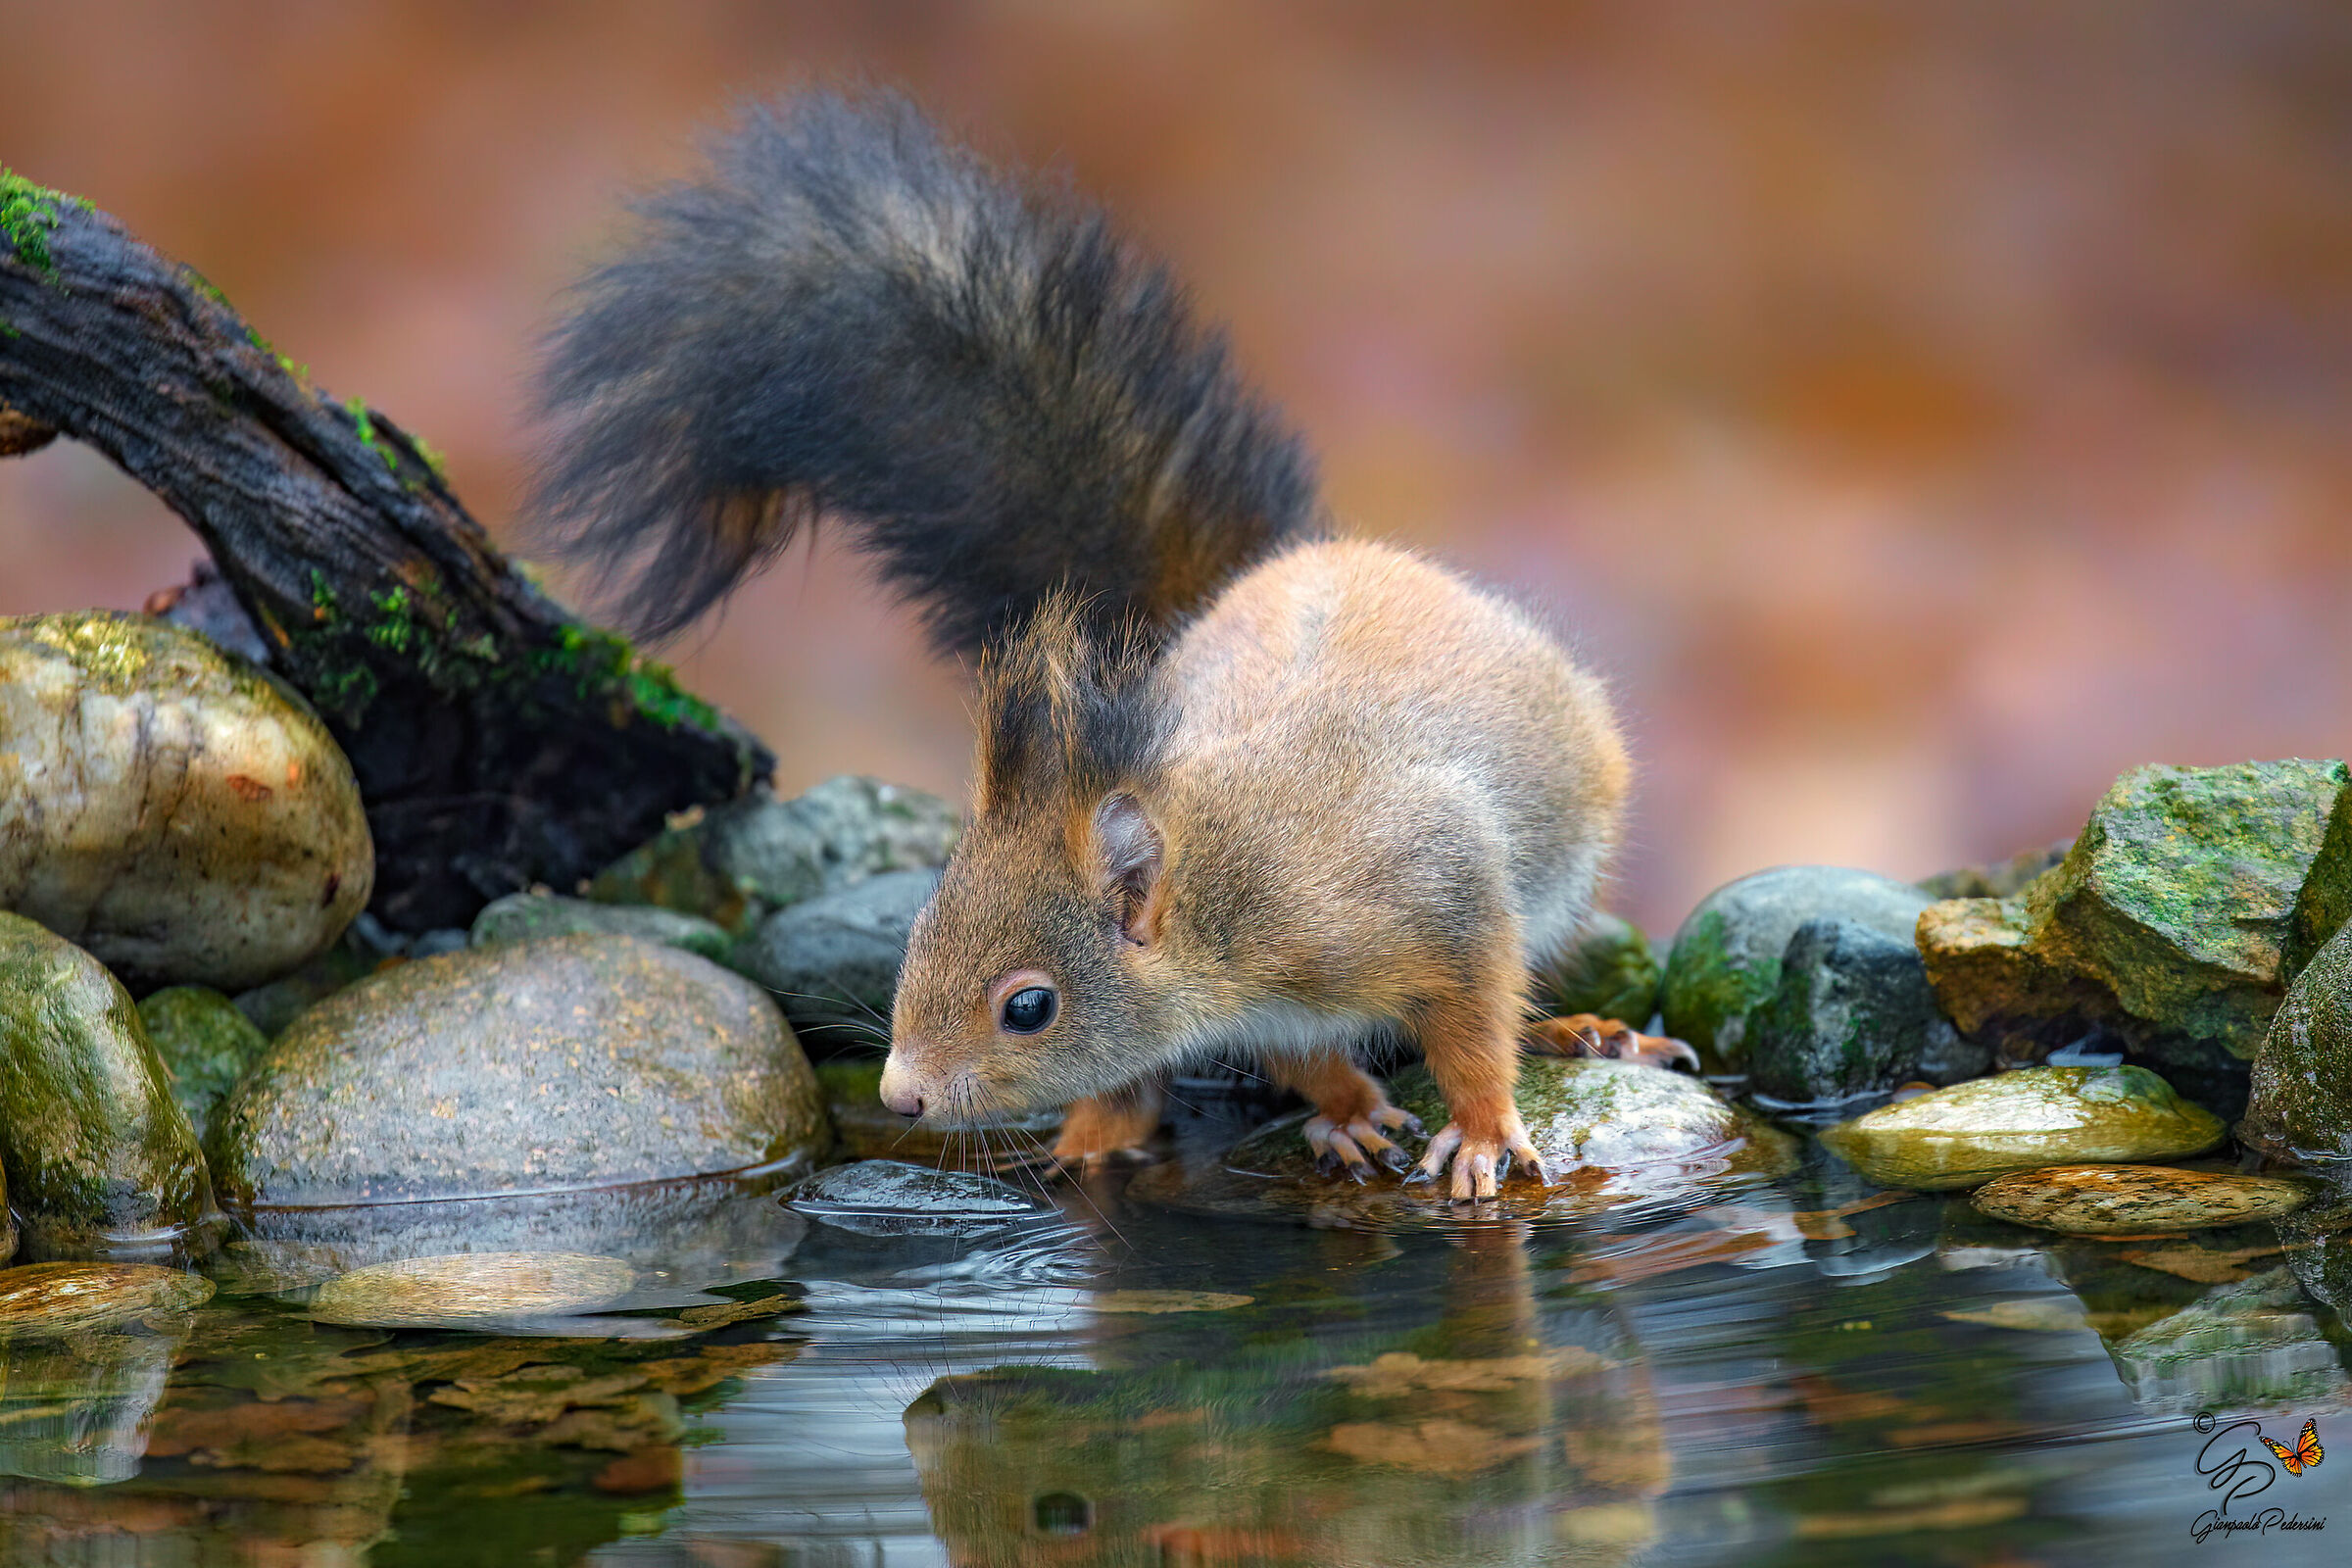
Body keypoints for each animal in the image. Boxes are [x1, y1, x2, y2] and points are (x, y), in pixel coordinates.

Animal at [530, 91, 1630, 1199]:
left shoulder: (1434, 894)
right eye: (917, 934)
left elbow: (1475, 1016)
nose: (900, 1098)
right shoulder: (1272, 1011)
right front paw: (1349, 1112)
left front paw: (1481, 1131)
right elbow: (1308, 1058)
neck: (1226, 899)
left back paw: (1577, 1027)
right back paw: (1097, 1133)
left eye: (1030, 1005)